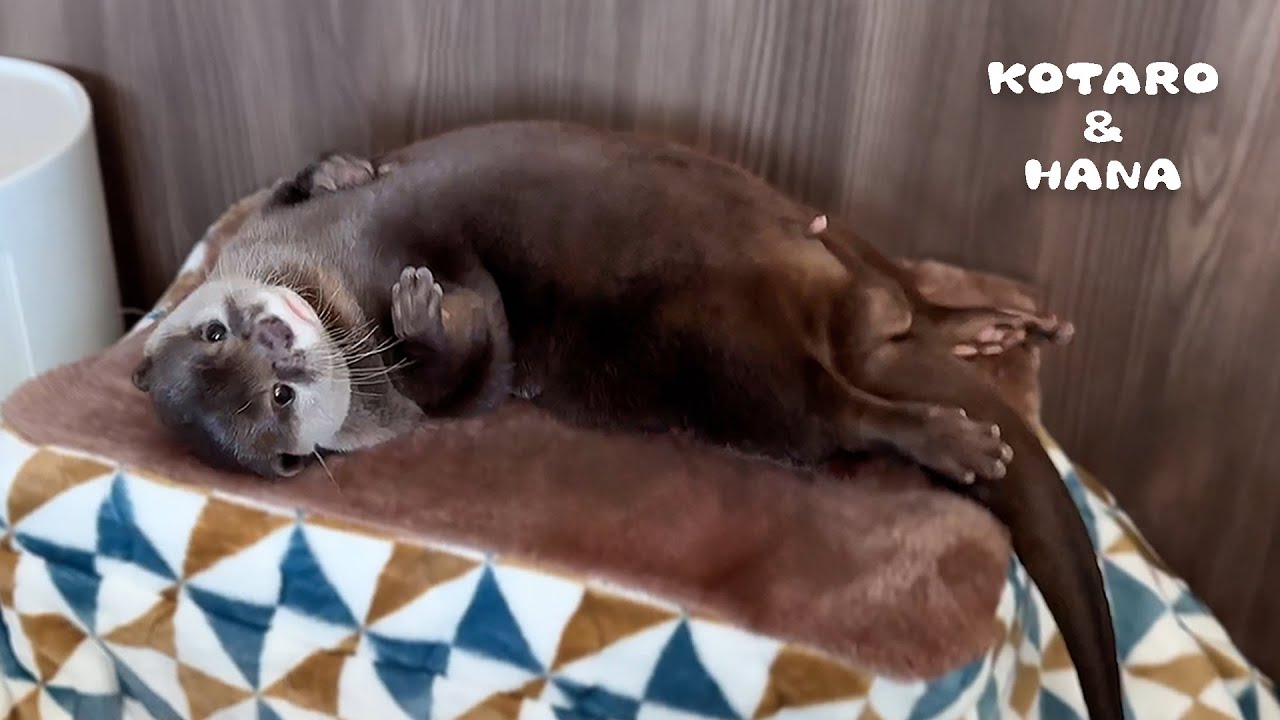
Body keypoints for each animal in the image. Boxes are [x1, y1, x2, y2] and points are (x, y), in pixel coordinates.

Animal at [132, 121, 1119, 718]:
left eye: (222, 334)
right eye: (278, 402)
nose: (279, 344)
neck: (336, 287)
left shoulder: (275, 224)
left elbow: (295, 181)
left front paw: (347, 177)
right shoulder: (418, 403)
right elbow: (479, 373)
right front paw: (425, 311)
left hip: (819, 230)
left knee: (899, 302)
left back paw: (989, 325)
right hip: (730, 360)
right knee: (832, 407)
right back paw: (954, 437)